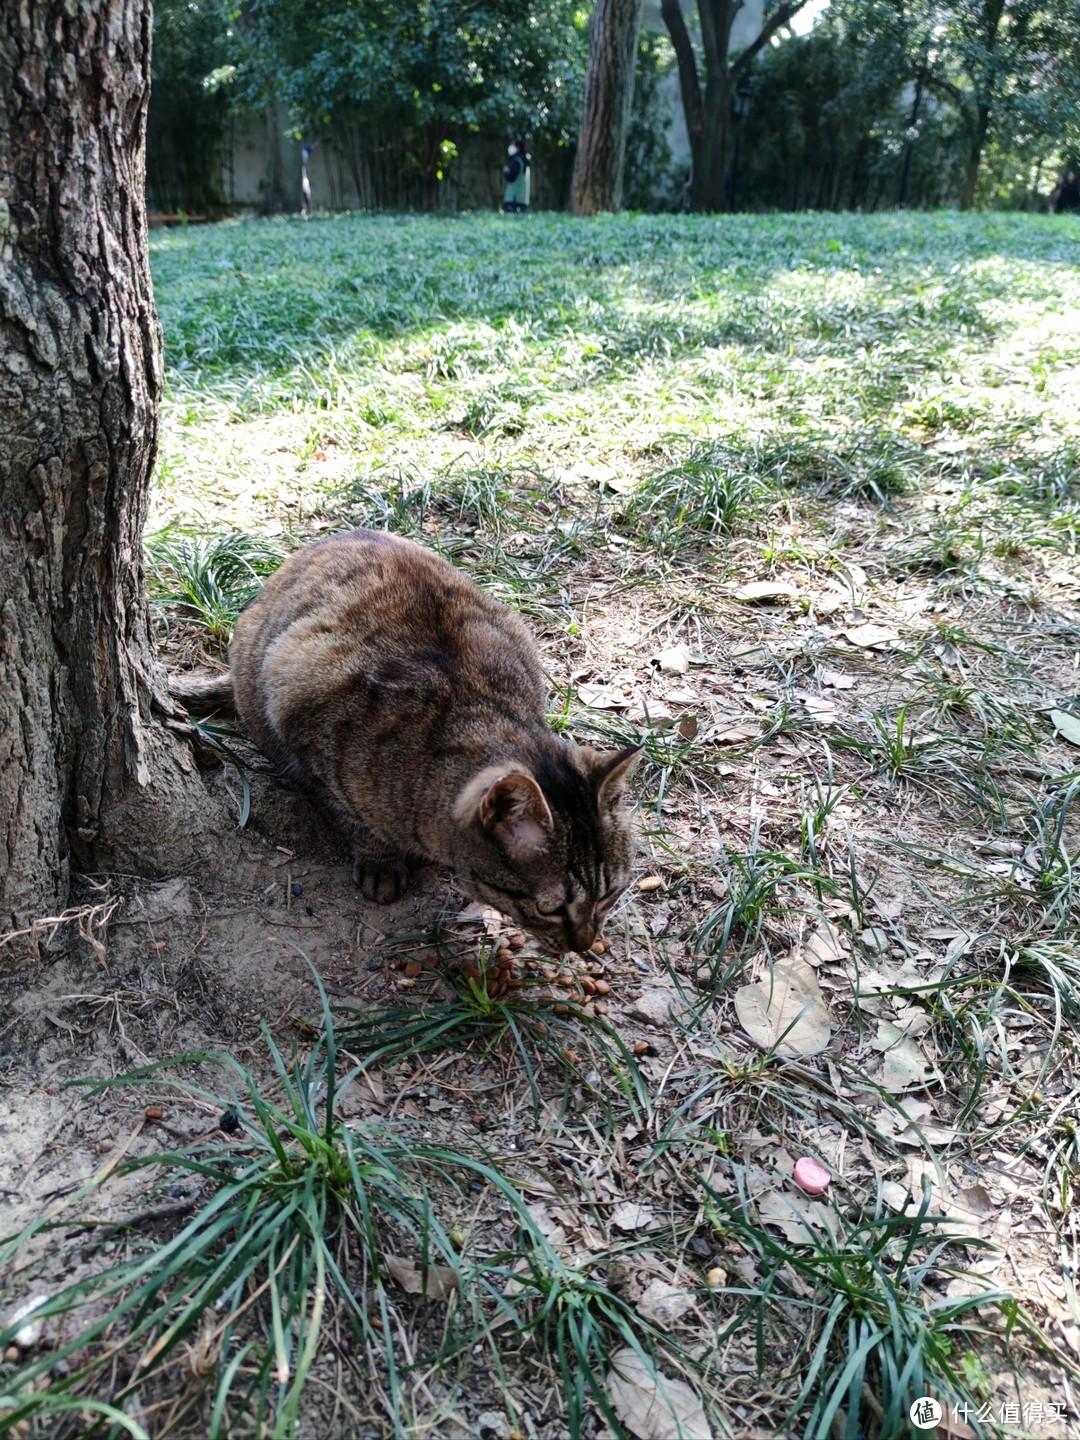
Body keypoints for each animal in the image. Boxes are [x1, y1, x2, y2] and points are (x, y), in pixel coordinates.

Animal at [172, 529, 639, 956]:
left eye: (608, 895)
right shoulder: (302, 698)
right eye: (551, 909)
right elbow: (355, 817)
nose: (585, 945)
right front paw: (380, 858)